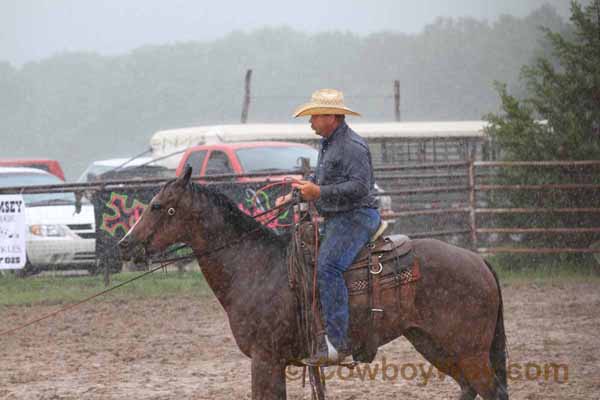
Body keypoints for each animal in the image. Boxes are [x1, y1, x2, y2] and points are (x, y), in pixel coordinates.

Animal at [120, 169, 506, 400]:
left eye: (159, 206)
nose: (125, 244)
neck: (256, 267)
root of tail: (478, 260)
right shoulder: (275, 362)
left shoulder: (265, 359)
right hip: (434, 344)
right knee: (469, 388)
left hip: (469, 350)